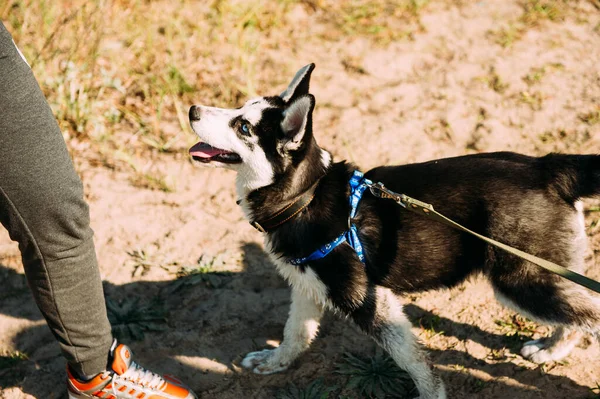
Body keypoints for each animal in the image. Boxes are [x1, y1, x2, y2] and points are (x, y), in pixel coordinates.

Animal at [190, 64, 600, 398]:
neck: (305, 196)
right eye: (239, 110)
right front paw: (274, 361)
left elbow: (414, 362)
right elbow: (296, 333)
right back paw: (551, 350)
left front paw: (432, 396)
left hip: (523, 283)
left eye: (243, 127)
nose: (193, 110)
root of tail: (547, 167)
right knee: (577, 318)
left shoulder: (369, 301)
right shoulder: (308, 286)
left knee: (588, 314)